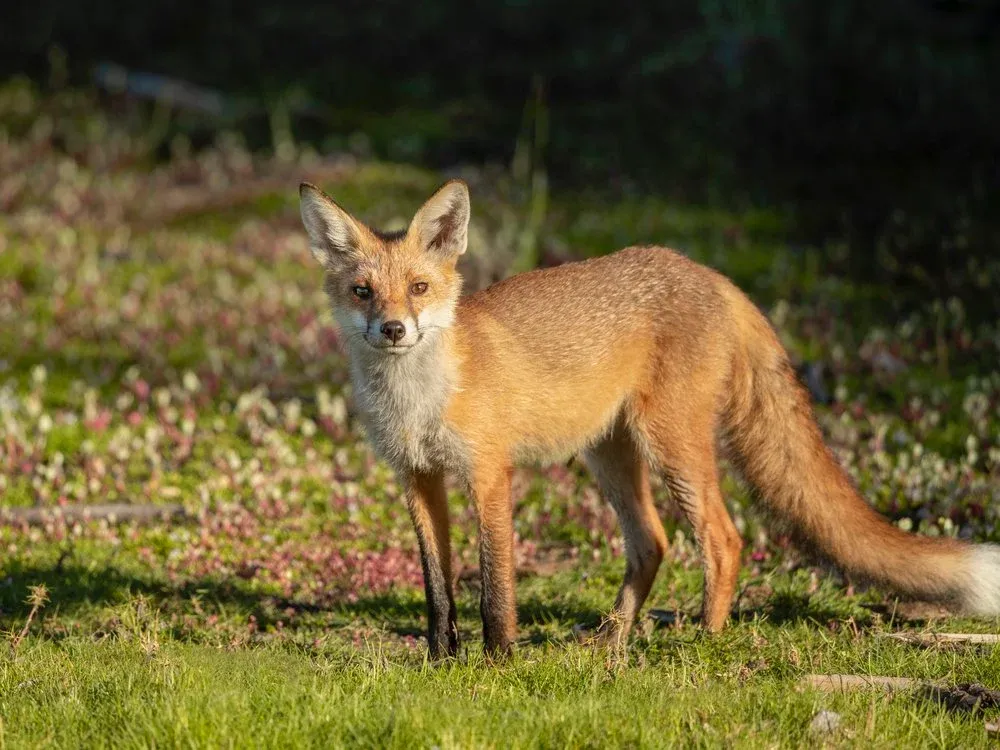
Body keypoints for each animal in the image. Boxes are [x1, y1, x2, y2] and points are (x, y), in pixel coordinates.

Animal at [296, 176, 1000, 656]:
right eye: (363, 292)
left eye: (418, 289)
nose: (392, 329)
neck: (416, 402)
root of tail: (710, 273)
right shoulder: (418, 478)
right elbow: (437, 585)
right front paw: (442, 659)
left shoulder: (488, 474)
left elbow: (495, 583)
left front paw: (497, 660)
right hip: (609, 453)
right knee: (652, 542)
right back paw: (611, 641)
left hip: (671, 445)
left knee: (723, 539)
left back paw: (704, 642)